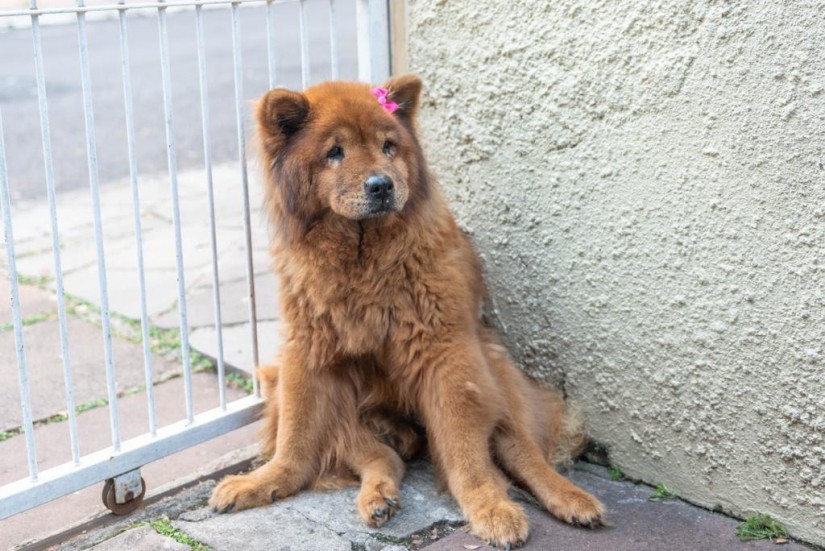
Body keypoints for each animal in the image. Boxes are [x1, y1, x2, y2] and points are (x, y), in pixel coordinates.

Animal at [209, 74, 600, 548]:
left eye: (388, 147)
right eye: (334, 152)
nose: (381, 184)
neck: (361, 258)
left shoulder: (446, 355)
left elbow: (465, 454)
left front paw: (489, 507)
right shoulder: (307, 351)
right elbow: (295, 441)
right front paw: (270, 479)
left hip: (494, 368)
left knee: (520, 448)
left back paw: (570, 499)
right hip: (304, 387)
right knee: (381, 456)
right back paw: (377, 497)